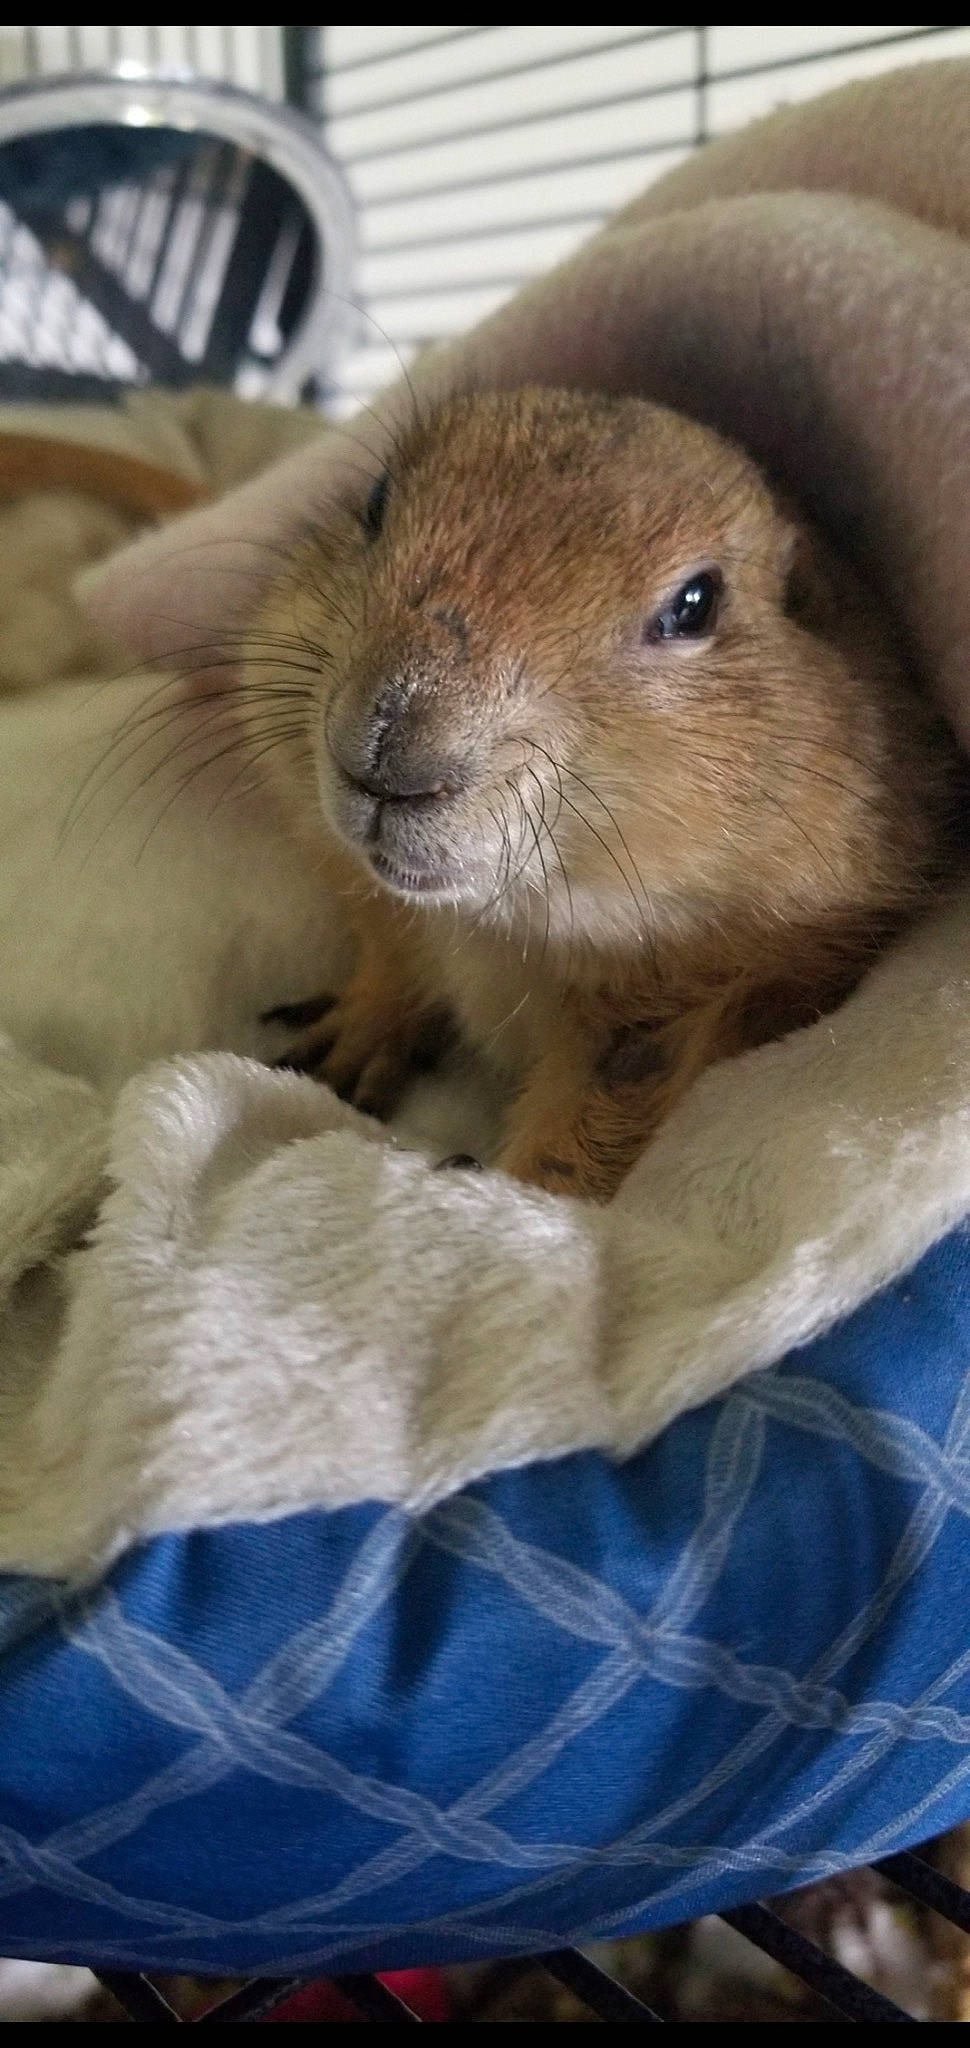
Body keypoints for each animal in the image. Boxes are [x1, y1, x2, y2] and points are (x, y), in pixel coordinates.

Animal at [250, 387, 964, 1200]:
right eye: (374, 501)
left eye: (695, 602)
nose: (383, 750)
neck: (488, 927)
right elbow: (392, 954)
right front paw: (341, 1040)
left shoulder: (710, 990)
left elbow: (606, 1103)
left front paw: (492, 1191)